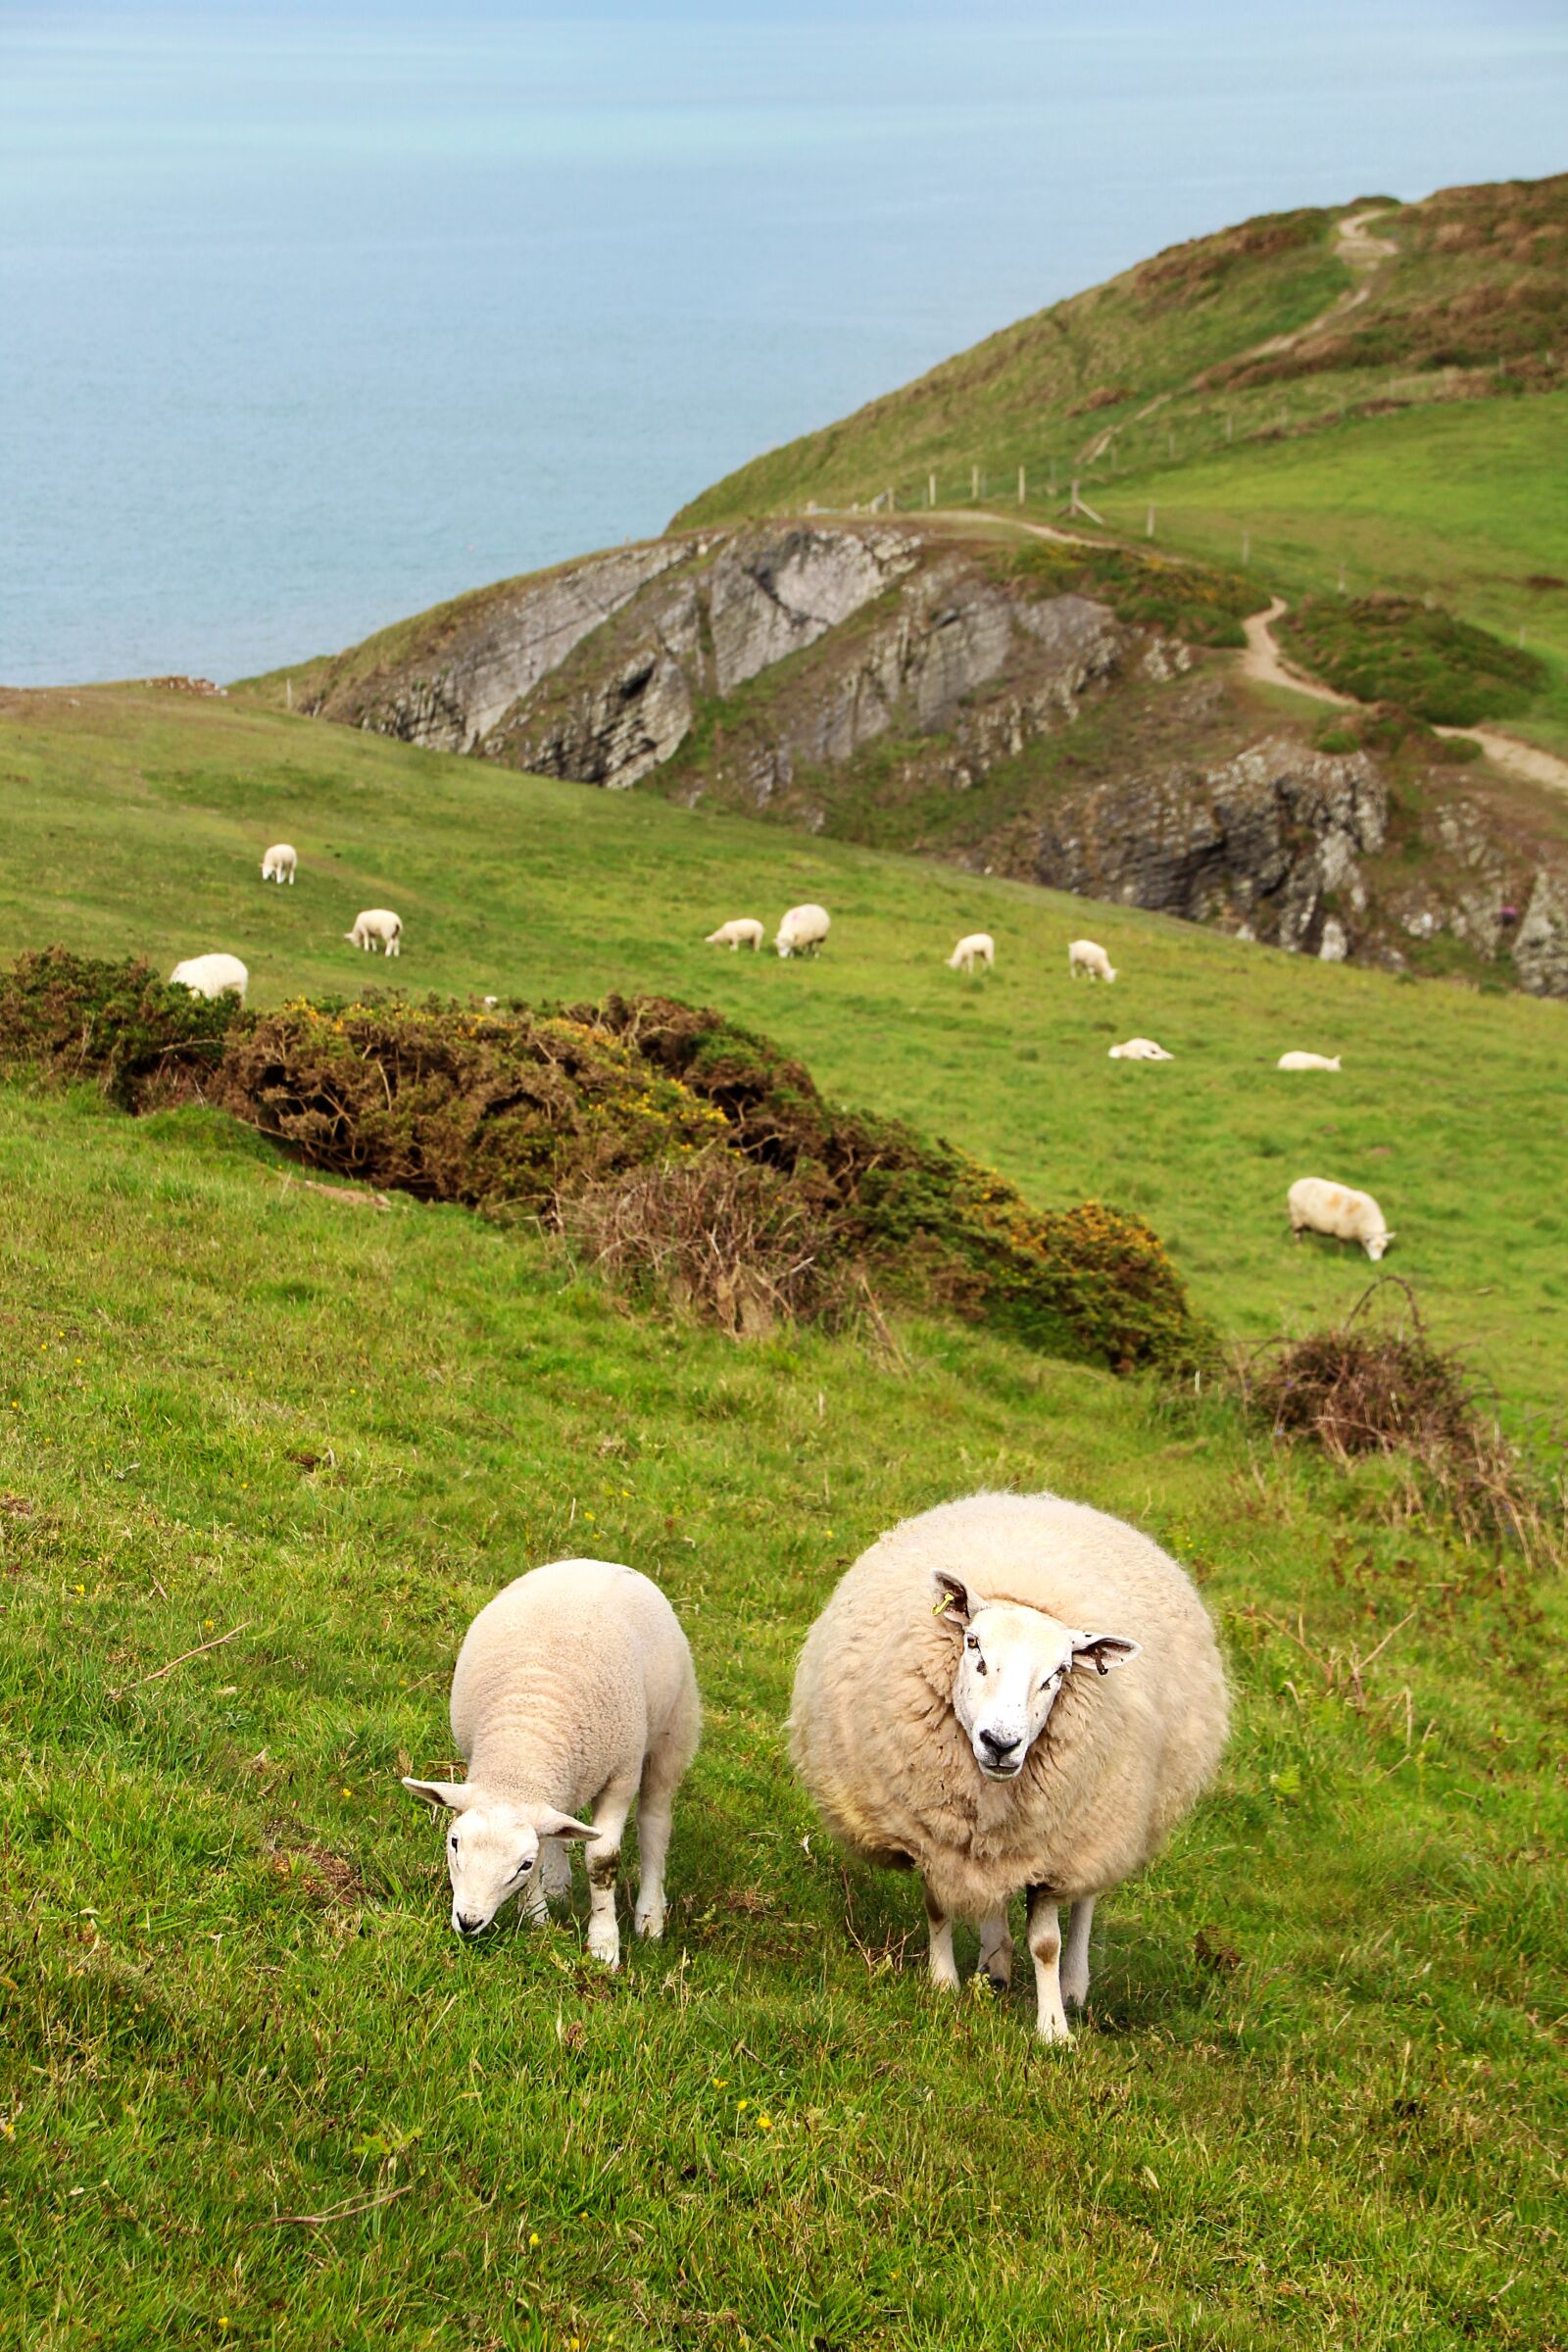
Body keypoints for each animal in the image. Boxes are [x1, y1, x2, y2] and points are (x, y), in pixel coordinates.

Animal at [403, 1558, 700, 1969]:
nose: (468, 1921)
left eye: (523, 1864)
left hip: (673, 1731)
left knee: (654, 1824)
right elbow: (549, 1839)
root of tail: (601, 1562)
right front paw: (537, 1918)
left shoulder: (621, 1778)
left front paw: (604, 1945)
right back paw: (559, 1885)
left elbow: (602, 1860)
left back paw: (650, 1916)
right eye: (454, 1842)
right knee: (564, 1821)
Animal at [790, 1490, 1228, 2043]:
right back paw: (993, 1965)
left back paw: (1072, 1986)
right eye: (973, 1644)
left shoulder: (1054, 1852)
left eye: (1060, 1671)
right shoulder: (931, 1832)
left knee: (1086, 1897)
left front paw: (1054, 2031)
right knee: (991, 1890)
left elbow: (1047, 1944)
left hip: (1102, 1827)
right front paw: (944, 1984)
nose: (1001, 1743)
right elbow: (939, 1905)